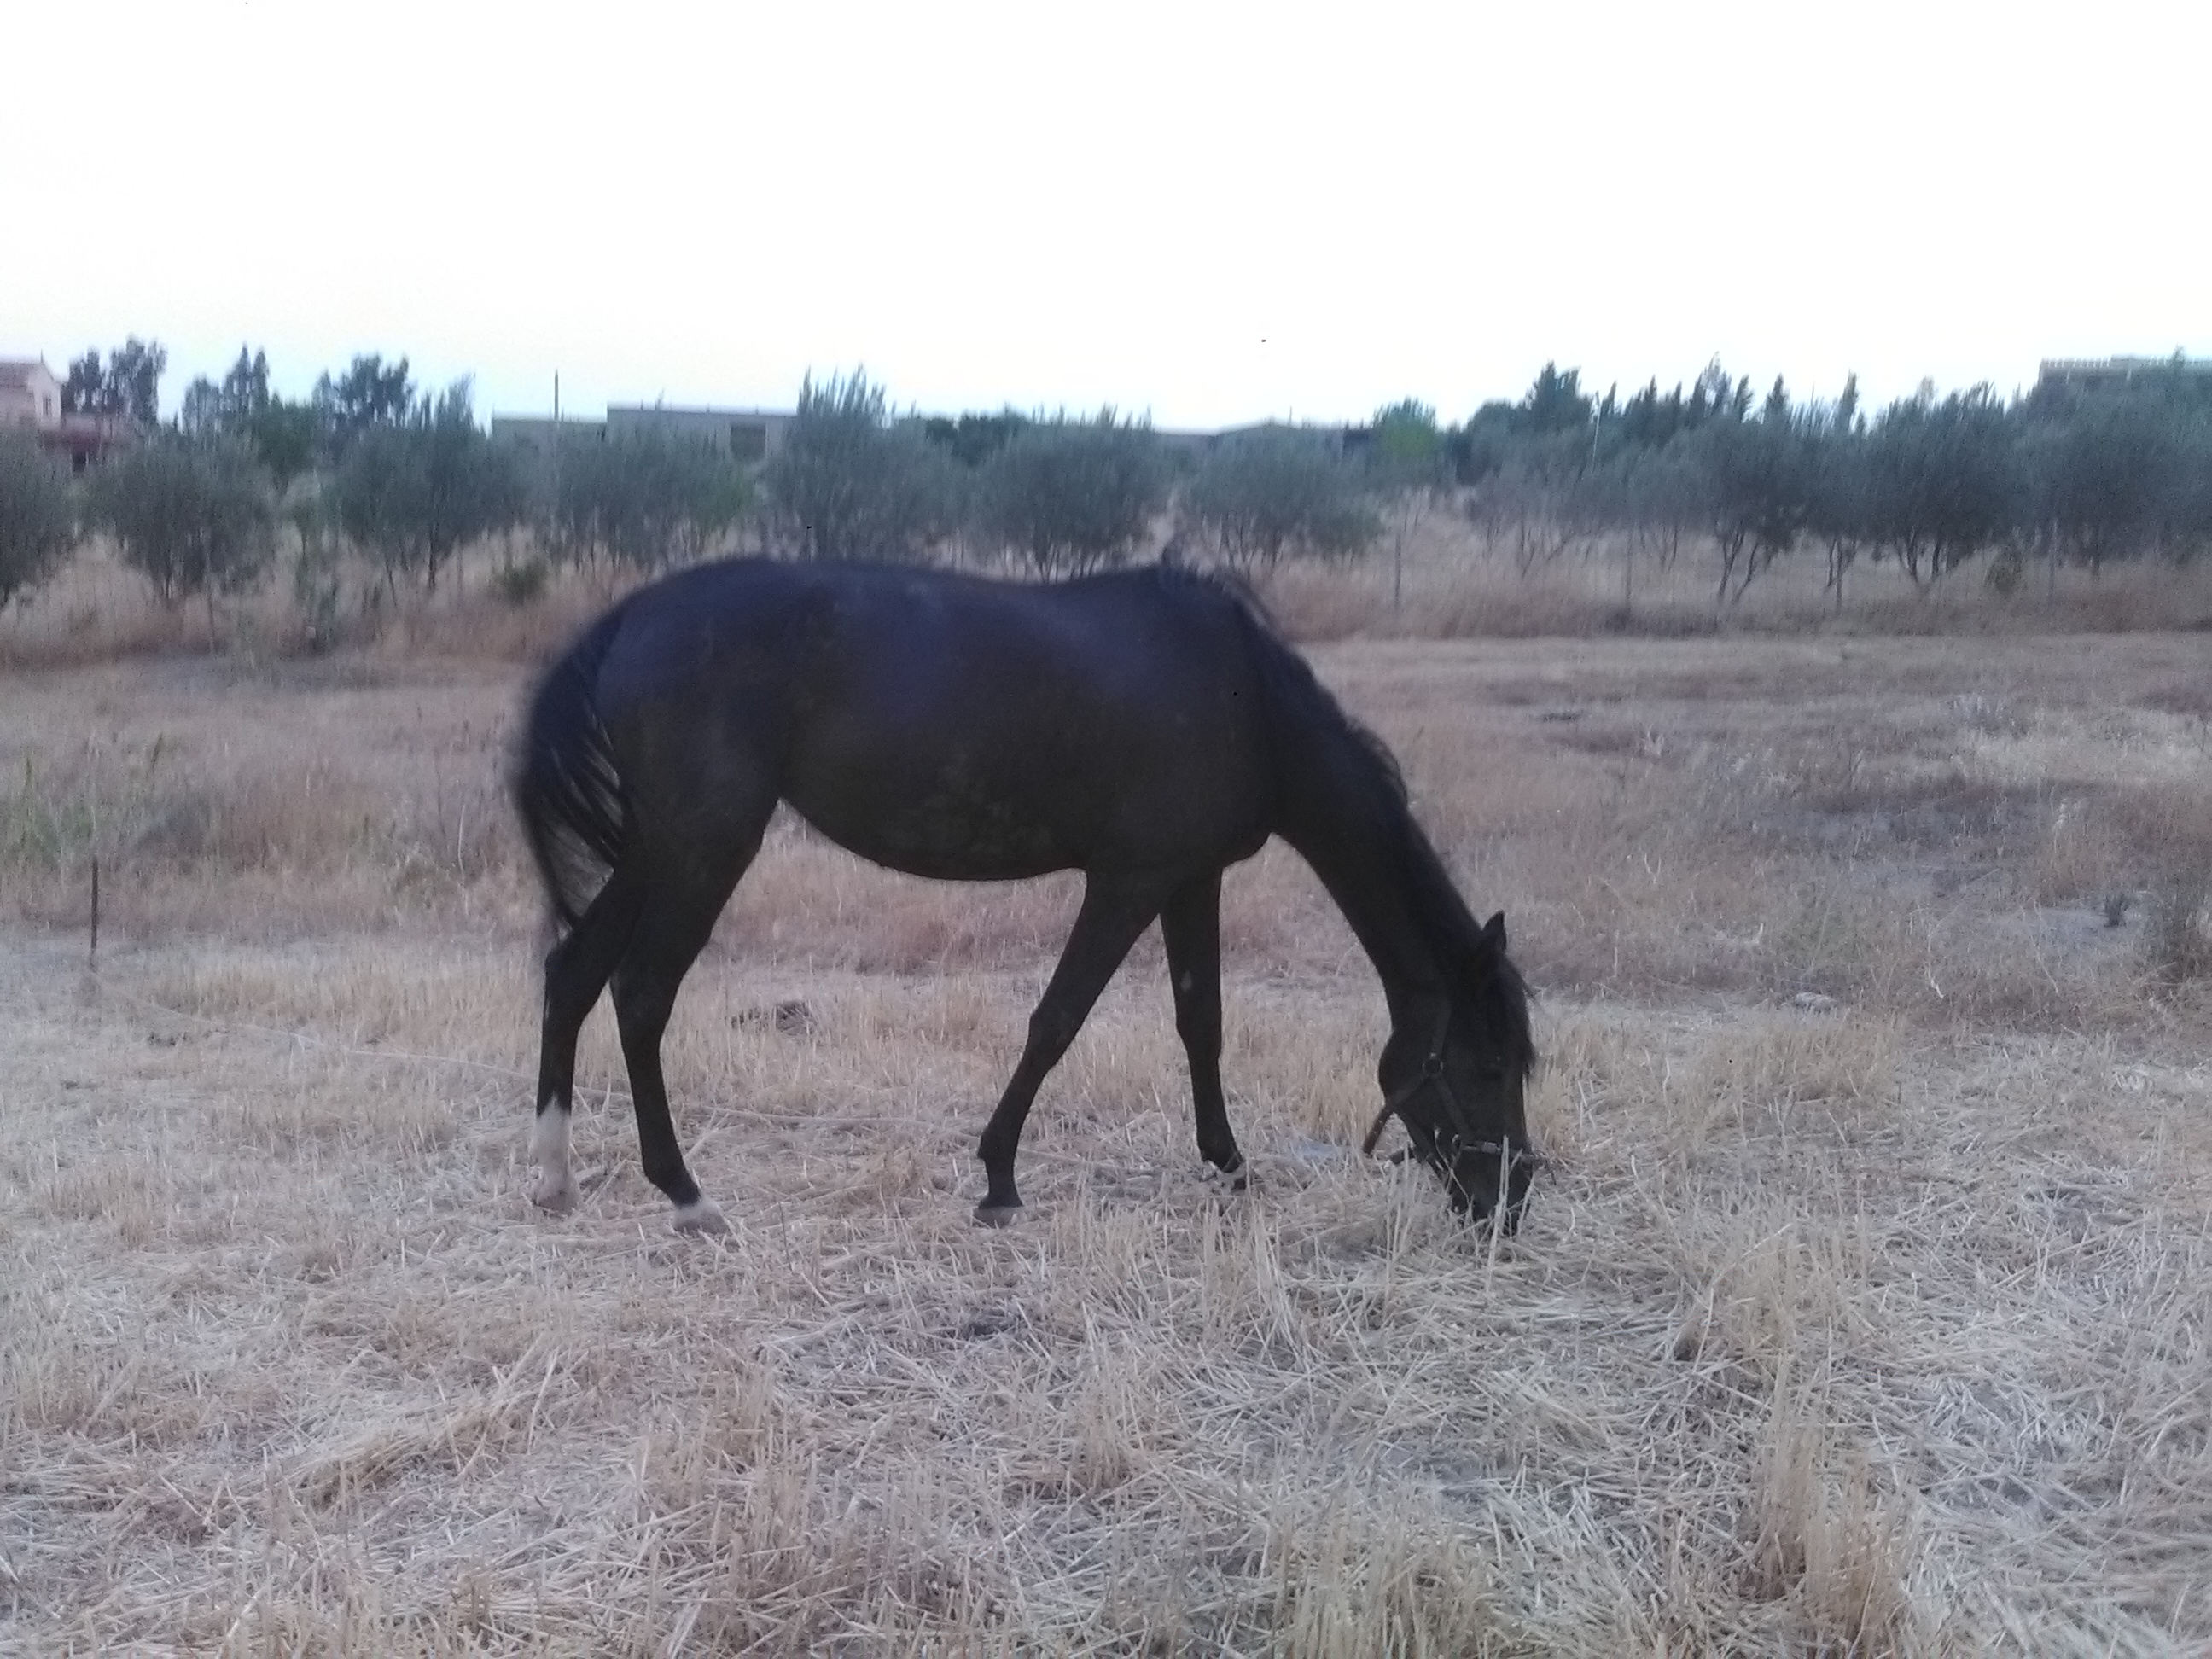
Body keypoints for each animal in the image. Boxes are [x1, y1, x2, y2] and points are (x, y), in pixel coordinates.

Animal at [513, 559, 1540, 1238]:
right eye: (1488, 1066)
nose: (1509, 1204)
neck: (1245, 697)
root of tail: (632, 616)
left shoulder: (1191, 878)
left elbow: (1200, 1022)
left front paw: (1229, 1162)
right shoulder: (1129, 881)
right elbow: (1057, 1022)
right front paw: (1000, 1176)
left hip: (660, 849)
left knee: (573, 972)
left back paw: (557, 1179)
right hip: (702, 851)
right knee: (641, 994)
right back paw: (686, 1194)